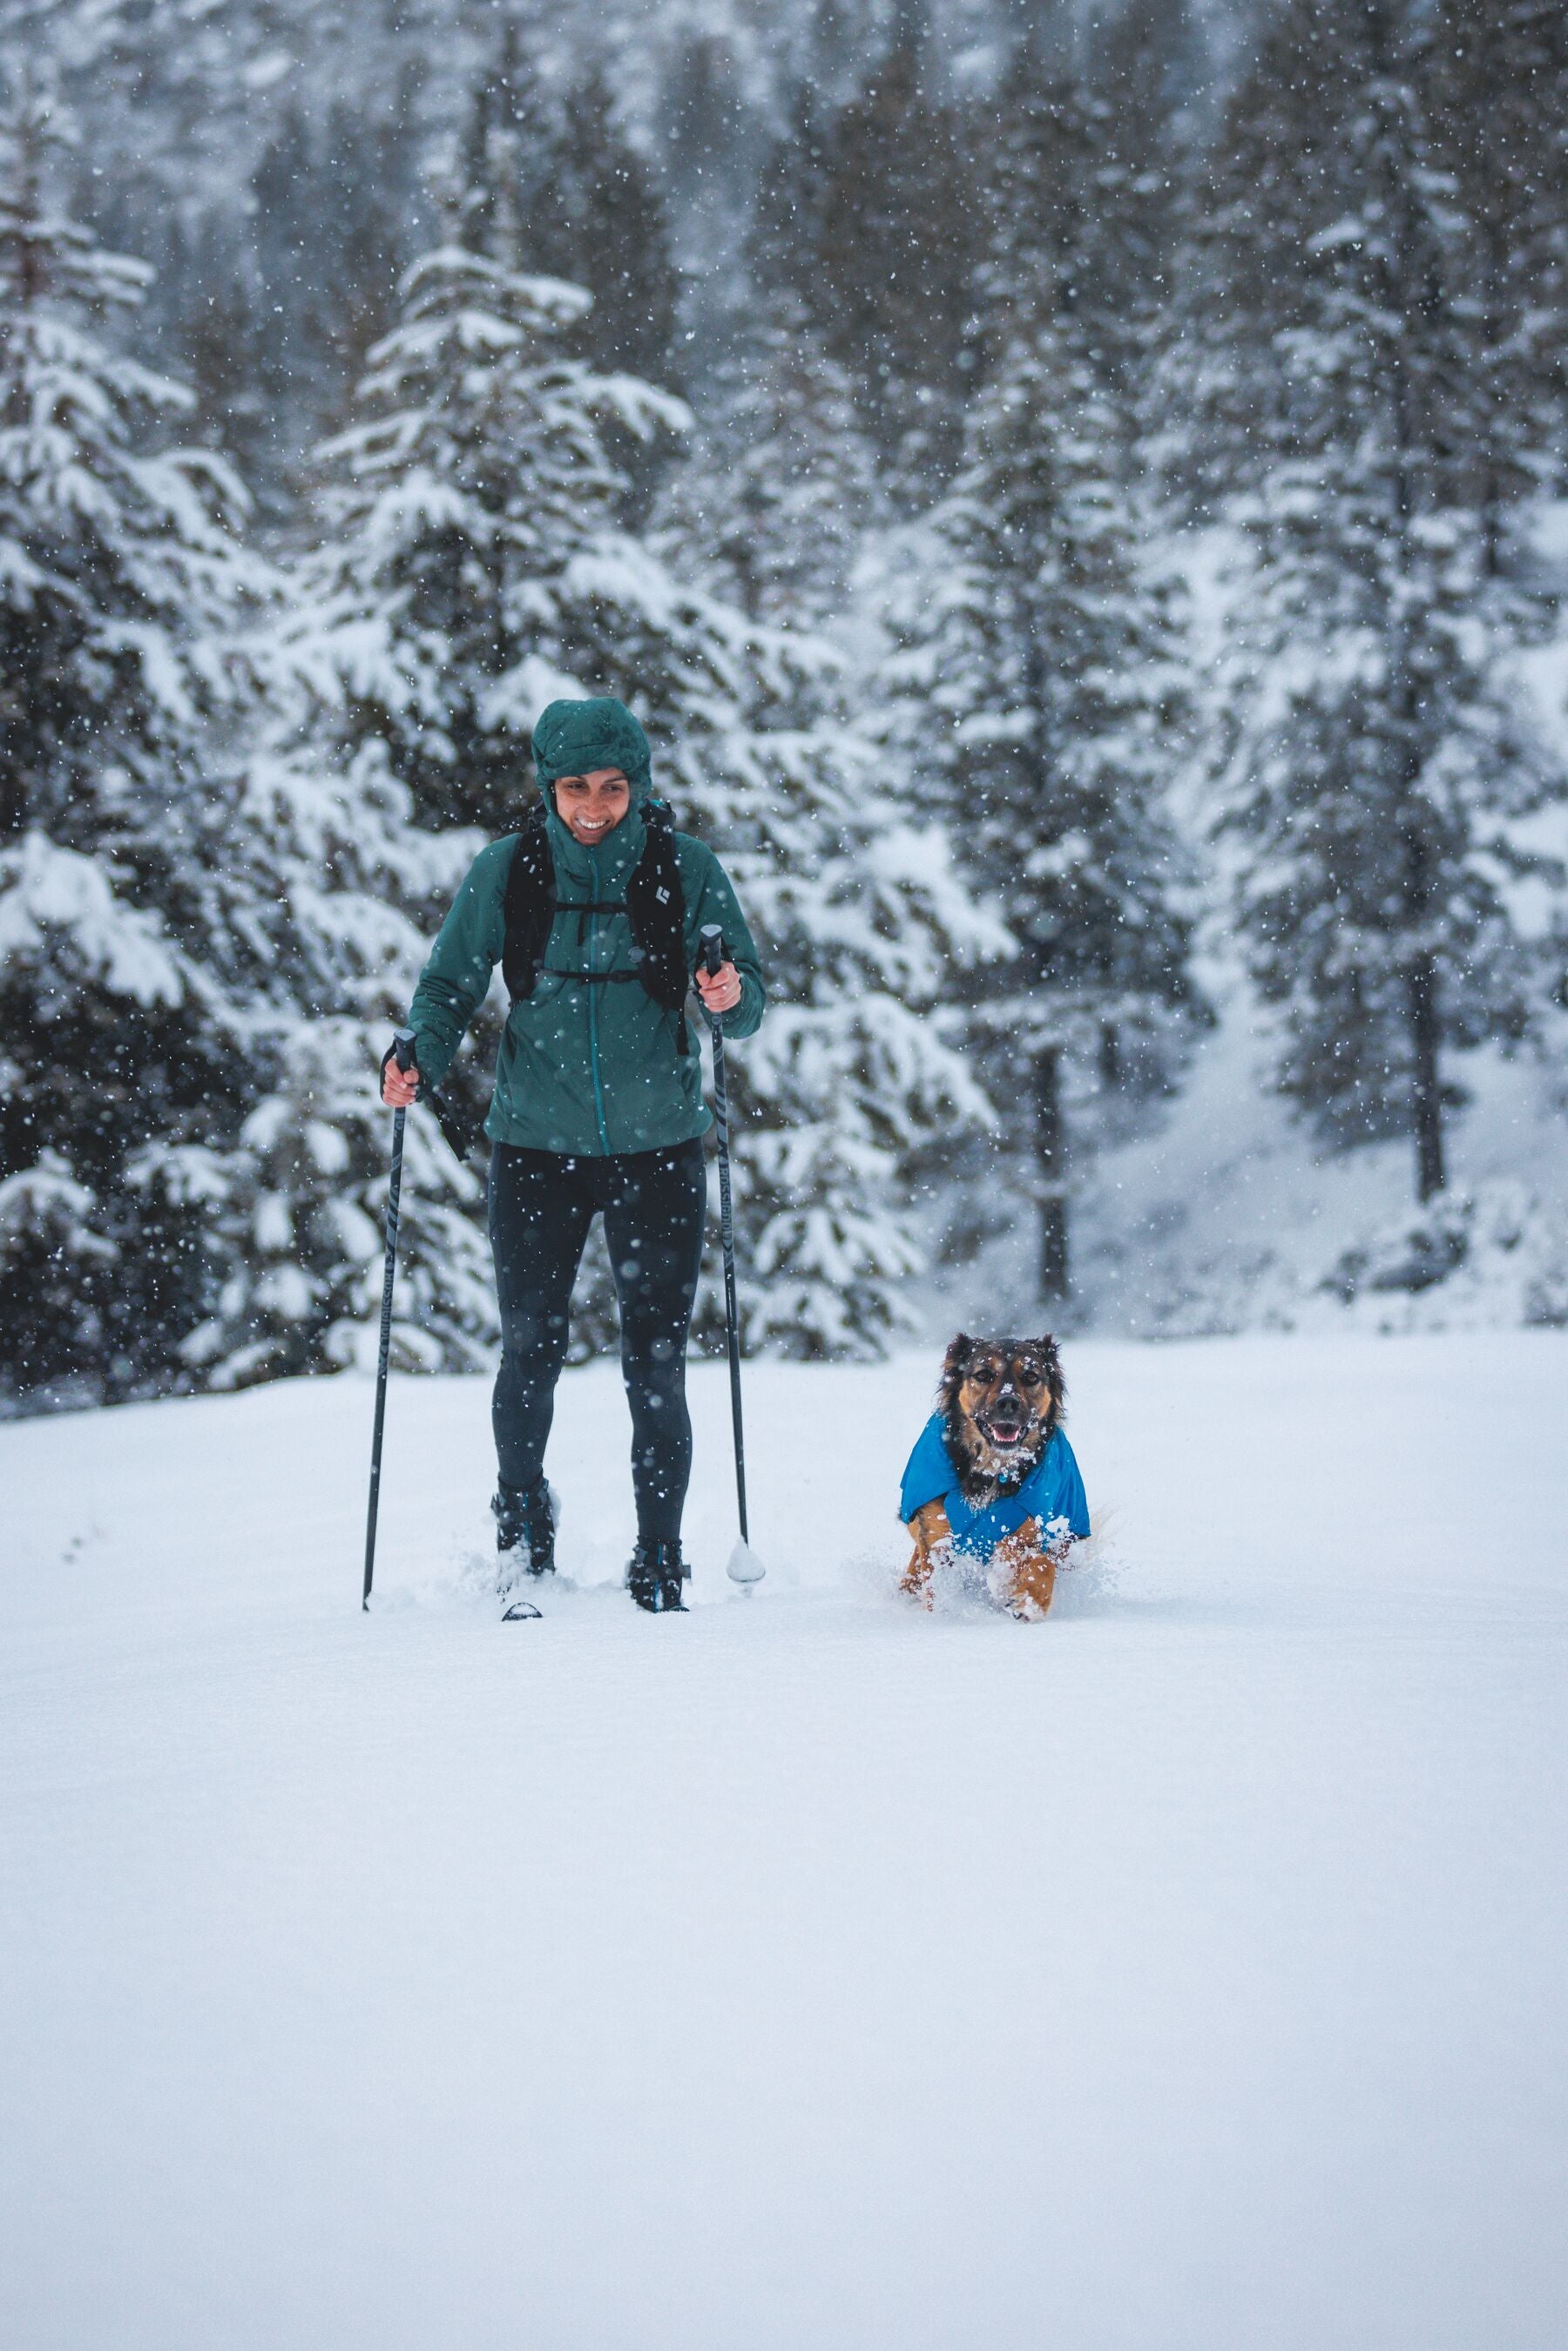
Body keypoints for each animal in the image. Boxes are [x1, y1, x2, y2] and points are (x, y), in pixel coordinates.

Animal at [902, 1335, 1085, 1626]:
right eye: (983, 1375)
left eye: (1031, 1376)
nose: (1008, 1403)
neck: (991, 1470)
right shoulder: (936, 1532)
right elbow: (936, 1582)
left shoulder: (1034, 1525)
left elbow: (1041, 1562)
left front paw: (1030, 1601)